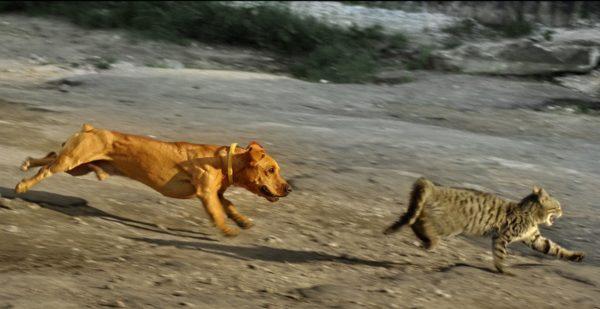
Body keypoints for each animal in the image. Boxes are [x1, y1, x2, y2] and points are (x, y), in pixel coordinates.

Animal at [15, 122, 292, 236]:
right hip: (73, 161)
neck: (224, 161)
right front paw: (226, 229)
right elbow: (217, 213)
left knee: (49, 156)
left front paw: (242, 221)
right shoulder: (206, 194)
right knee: (46, 169)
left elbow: (230, 206)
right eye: (271, 170)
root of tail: (90, 129)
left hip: (77, 166)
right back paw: (23, 185)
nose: (289, 189)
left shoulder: (217, 193)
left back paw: (27, 162)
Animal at [384, 177, 584, 274]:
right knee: (420, 223)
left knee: (413, 219)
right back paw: (430, 242)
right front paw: (502, 270)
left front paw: (576, 256)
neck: (531, 215)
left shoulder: (535, 239)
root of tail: (435, 187)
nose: (563, 211)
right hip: (449, 225)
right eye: (557, 206)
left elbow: (556, 249)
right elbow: (500, 255)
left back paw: (424, 240)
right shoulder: (502, 236)